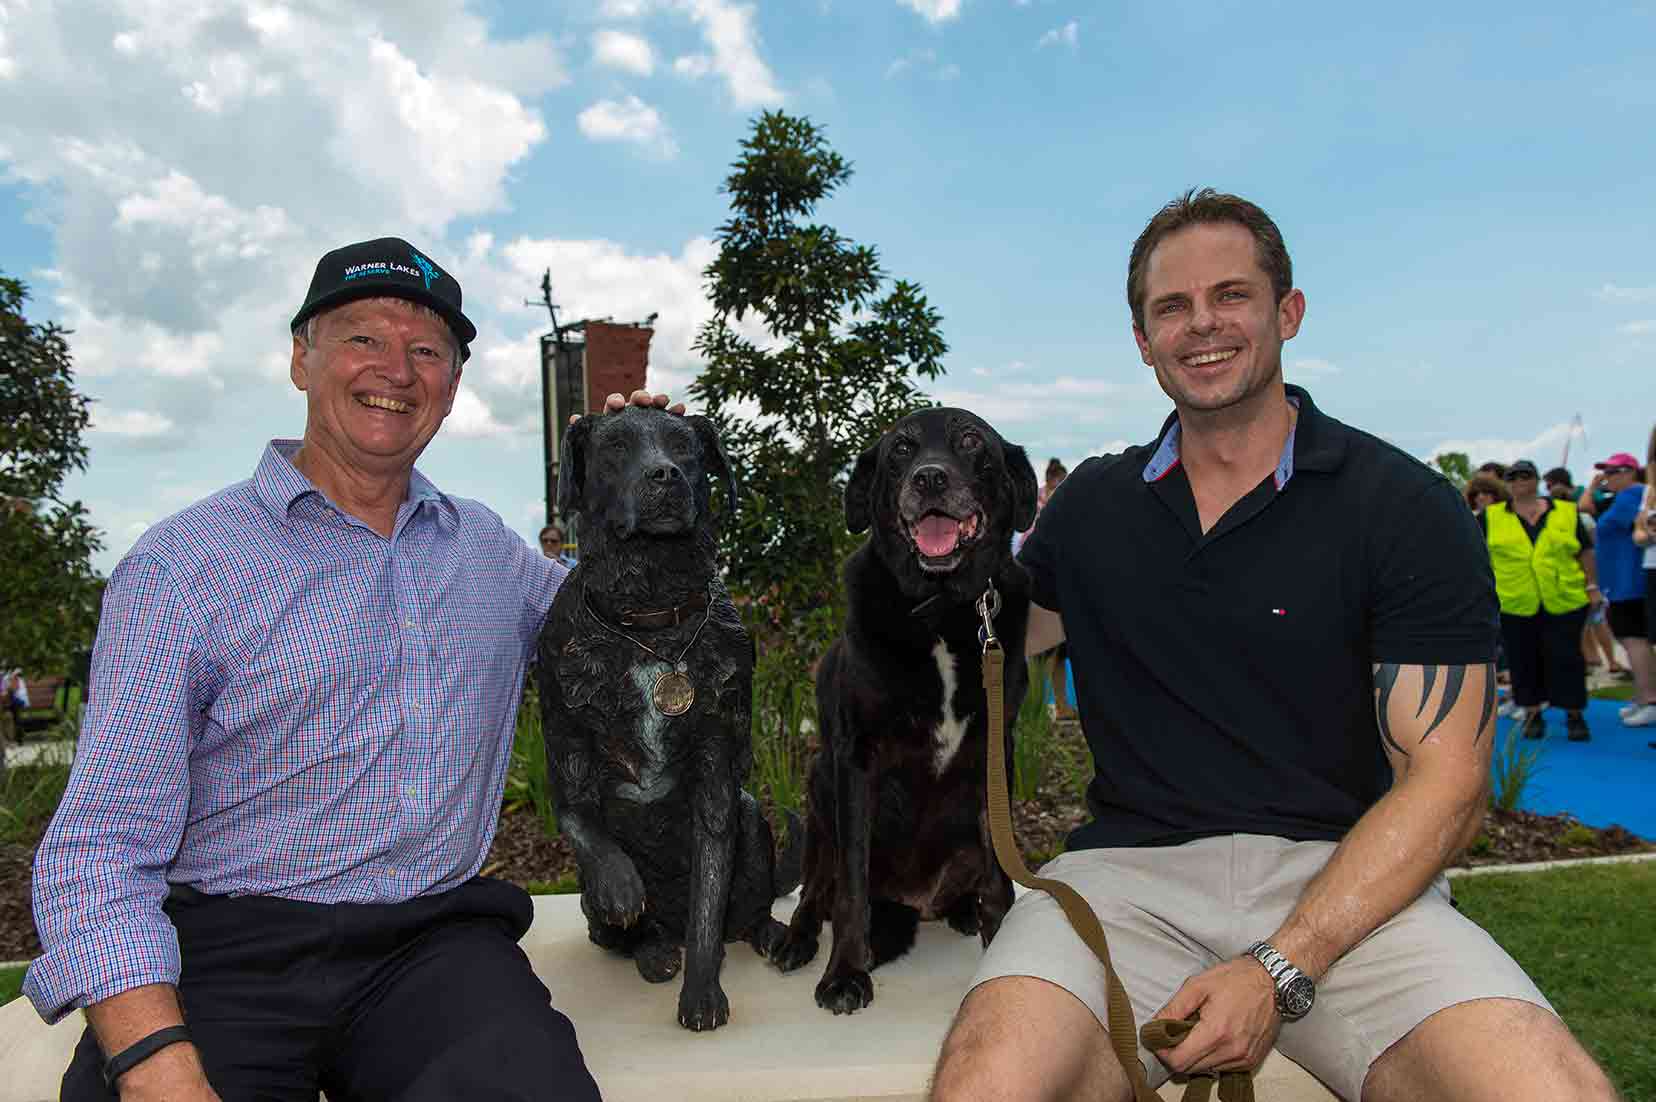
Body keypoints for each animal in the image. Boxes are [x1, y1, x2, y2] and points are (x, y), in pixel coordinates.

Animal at [536, 406, 801, 1034]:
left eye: (685, 446)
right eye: (614, 447)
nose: (665, 476)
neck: (650, 623)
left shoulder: (719, 764)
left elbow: (710, 894)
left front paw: (701, 991)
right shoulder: (562, 733)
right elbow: (578, 818)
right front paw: (621, 882)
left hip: (754, 821)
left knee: (742, 910)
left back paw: (767, 933)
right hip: (592, 905)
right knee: (616, 928)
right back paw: (652, 947)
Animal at [765, 407, 1026, 1007]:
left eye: (971, 440)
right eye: (900, 449)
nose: (929, 479)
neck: (939, 610)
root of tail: (916, 900)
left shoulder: (995, 755)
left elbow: (1000, 879)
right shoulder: (855, 760)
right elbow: (850, 889)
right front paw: (844, 973)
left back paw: (961, 911)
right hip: (819, 786)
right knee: (817, 887)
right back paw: (797, 940)